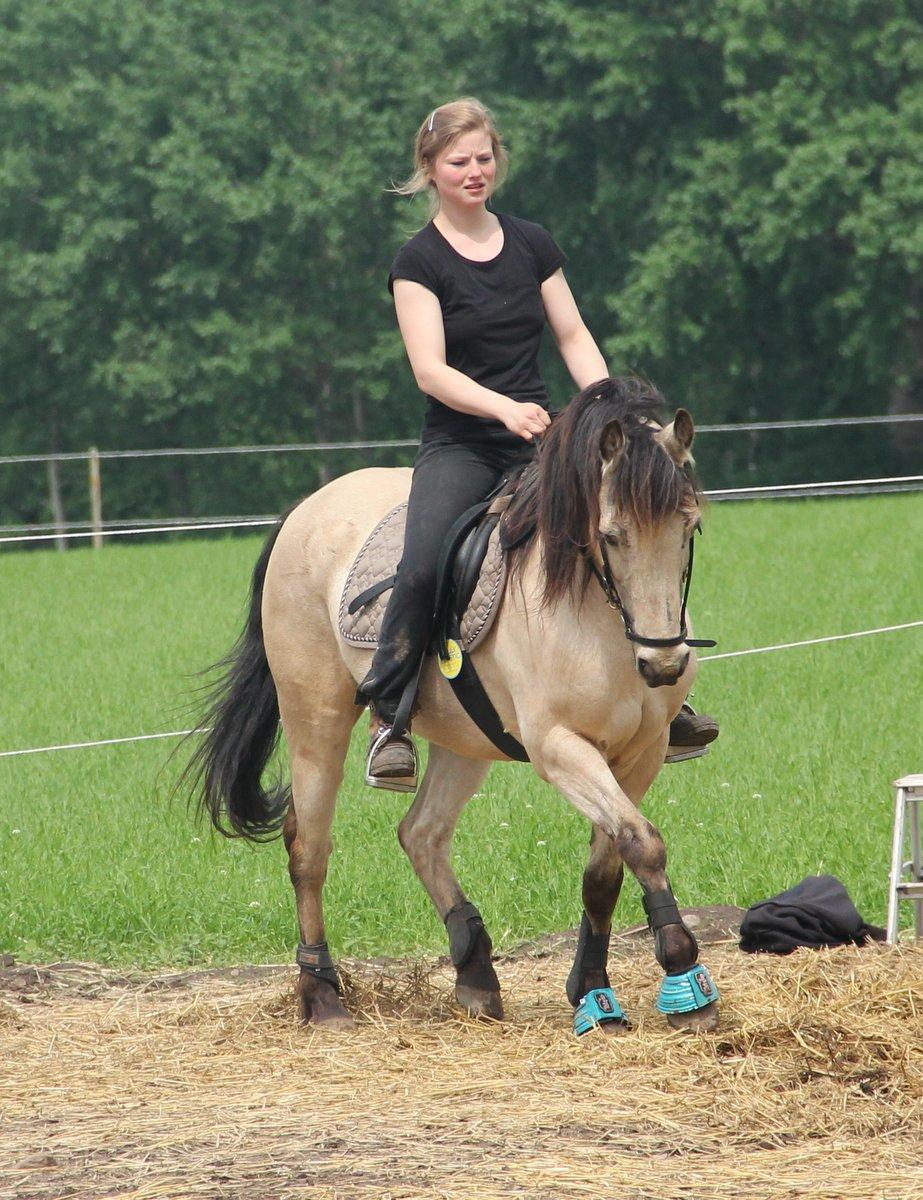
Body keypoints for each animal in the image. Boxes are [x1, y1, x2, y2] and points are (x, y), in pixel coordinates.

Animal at [187, 374, 720, 1032]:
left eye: (689, 528)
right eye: (612, 535)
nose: (663, 665)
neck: (595, 617)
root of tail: (307, 509)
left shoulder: (641, 752)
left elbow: (610, 865)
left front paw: (594, 991)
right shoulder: (559, 749)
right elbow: (643, 843)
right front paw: (684, 975)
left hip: (466, 739)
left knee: (421, 834)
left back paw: (476, 974)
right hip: (317, 718)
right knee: (309, 848)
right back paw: (323, 996)